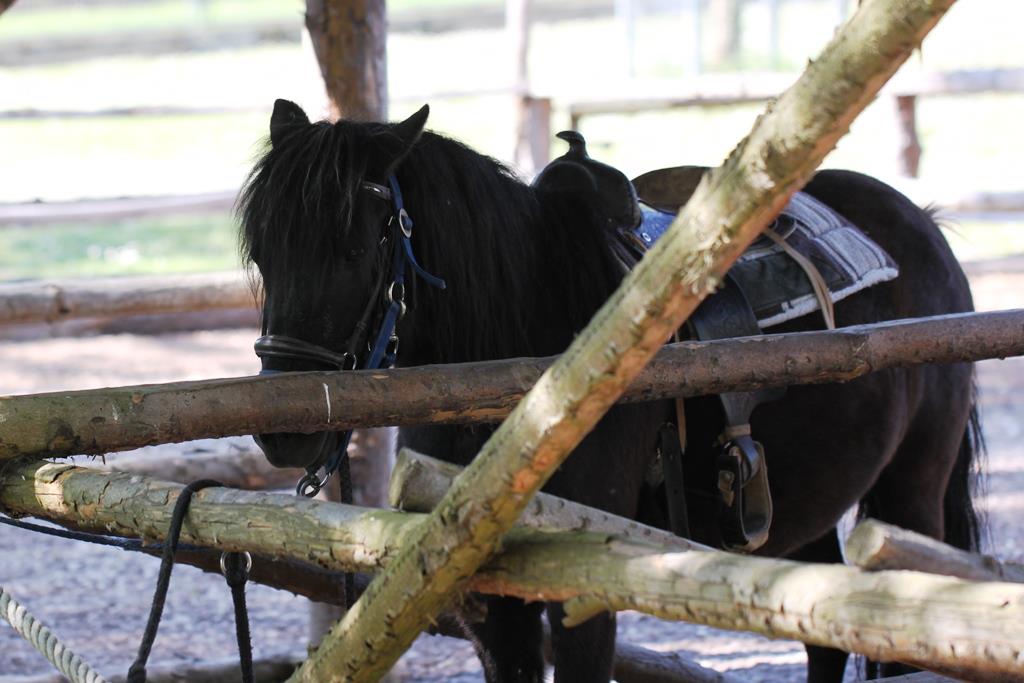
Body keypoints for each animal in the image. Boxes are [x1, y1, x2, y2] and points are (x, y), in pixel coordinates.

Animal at [235, 101, 978, 683]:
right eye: (263, 255)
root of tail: (921, 221)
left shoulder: (585, 583)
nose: (282, 430)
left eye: (355, 251)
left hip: (912, 488)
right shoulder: (480, 593)